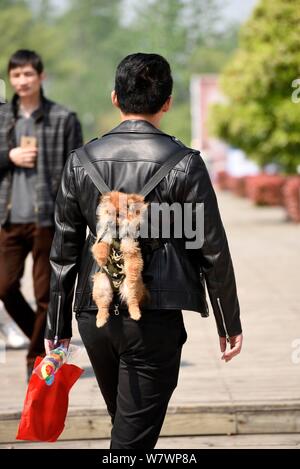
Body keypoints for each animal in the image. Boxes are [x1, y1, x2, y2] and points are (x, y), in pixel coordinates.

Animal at [91, 190, 148, 326]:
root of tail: (116, 288)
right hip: (101, 285)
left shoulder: (131, 248)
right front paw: (101, 259)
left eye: (118, 215)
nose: (109, 222)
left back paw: (136, 314)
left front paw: (132, 275)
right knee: (103, 306)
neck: (116, 235)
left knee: (132, 301)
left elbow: (133, 265)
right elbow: (100, 247)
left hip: (131, 288)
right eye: (108, 213)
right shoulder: (102, 239)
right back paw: (100, 320)